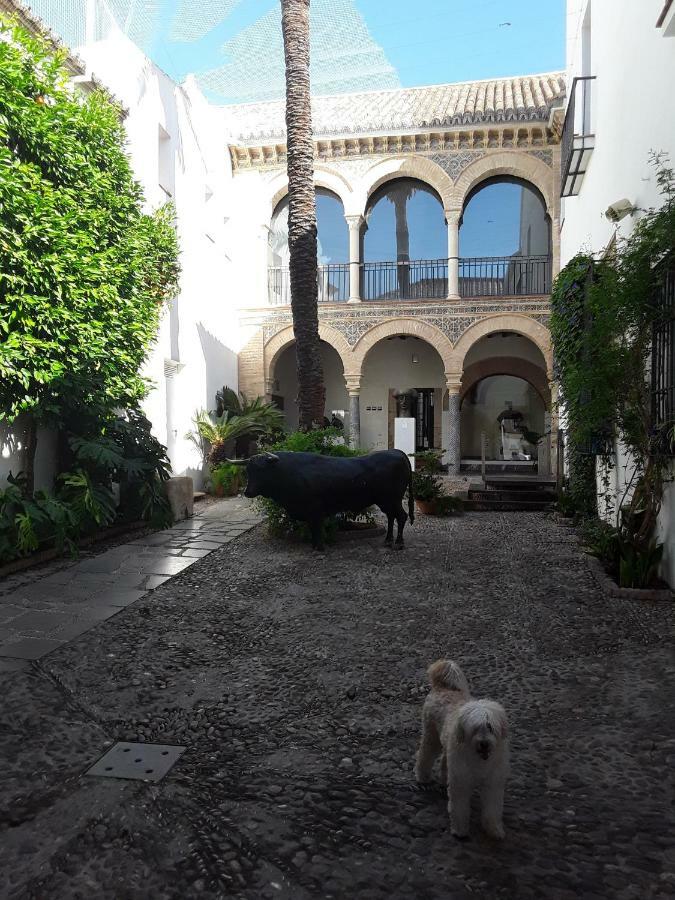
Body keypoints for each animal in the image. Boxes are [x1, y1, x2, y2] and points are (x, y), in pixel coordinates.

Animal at [414, 656, 510, 840]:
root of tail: (442, 687)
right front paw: (460, 830)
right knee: (425, 756)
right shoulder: (461, 782)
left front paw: (494, 829)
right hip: (432, 737)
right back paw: (423, 777)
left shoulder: (492, 784)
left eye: (490, 727)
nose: (484, 743)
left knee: (444, 763)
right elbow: (459, 808)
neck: (479, 758)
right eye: (475, 728)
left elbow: (492, 810)